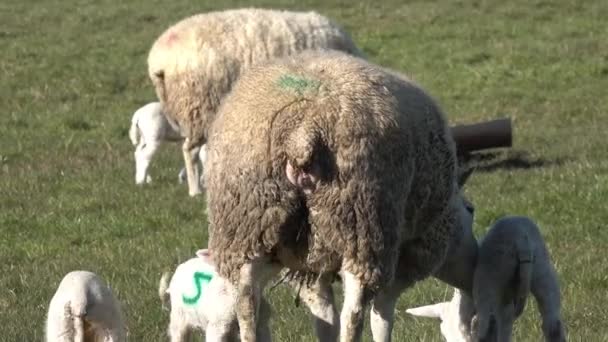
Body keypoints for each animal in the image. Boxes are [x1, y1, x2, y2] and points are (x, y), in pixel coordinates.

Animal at [204, 50, 460, 342]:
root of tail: (302, 132)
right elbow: (381, 318)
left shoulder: (312, 260)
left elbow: (324, 313)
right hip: (363, 226)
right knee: (354, 313)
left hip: (247, 224)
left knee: (246, 304)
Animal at [406, 216, 568, 342]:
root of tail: (521, 240)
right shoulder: (505, 310)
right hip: (544, 273)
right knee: (552, 326)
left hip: (489, 281)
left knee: (488, 324)